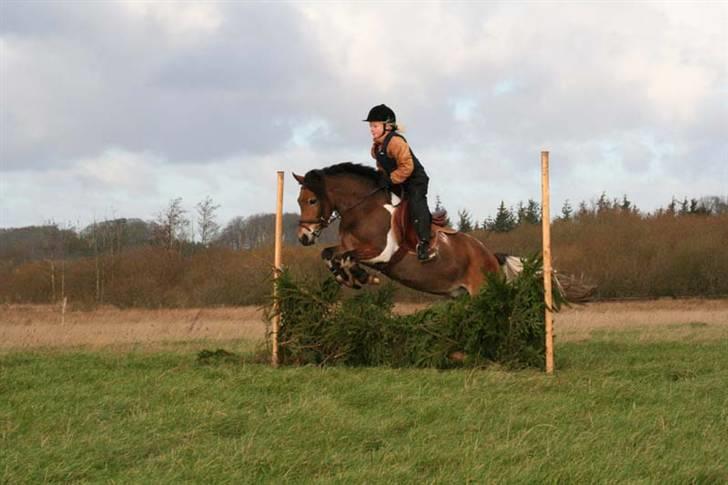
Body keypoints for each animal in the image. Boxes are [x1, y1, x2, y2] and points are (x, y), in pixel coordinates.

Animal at [292, 163, 520, 296]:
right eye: (299, 201)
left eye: (312, 201)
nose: (303, 237)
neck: (364, 209)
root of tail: (491, 256)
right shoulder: (347, 246)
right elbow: (329, 254)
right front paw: (347, 278)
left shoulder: (381, 253)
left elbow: (347, 258)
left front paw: (364, 278)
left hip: (481, 291)